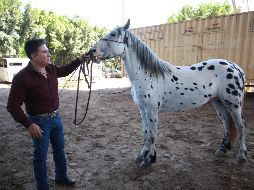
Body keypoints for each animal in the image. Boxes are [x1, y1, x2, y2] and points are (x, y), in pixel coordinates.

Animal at [91, 19, 246, 168]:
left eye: (113, 34)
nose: (92, 51)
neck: (147, 76)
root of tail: (236, 68)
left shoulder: (152, 111)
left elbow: (152, 135)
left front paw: (149, 159)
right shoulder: (143, 110)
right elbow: (145, 132)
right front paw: (142, 155)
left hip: (234, 104)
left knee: (241, 126)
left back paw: (241, 156)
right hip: (218, 102)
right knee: (226, 123)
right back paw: (222, 150)